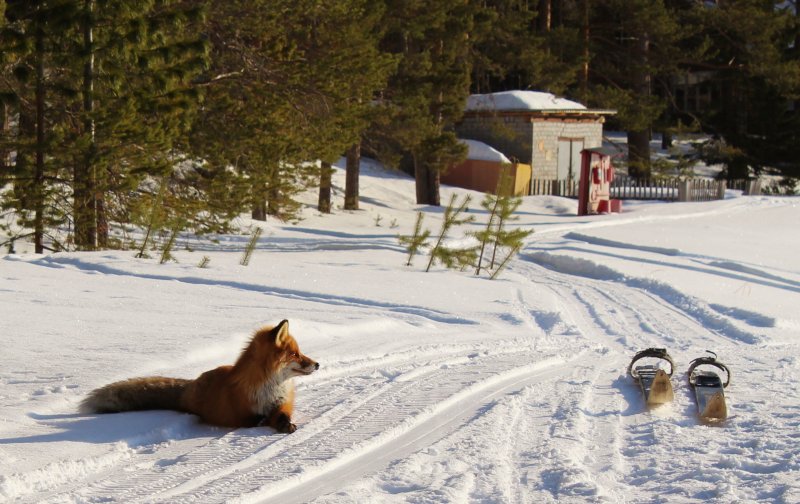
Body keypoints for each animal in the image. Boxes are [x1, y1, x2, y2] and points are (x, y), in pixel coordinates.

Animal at [80, 320, 318, 433]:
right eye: (295, 354)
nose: (317, 364)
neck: (270, 388)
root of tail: (192, 384)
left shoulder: (283, 403)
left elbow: (282, 415)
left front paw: (285, 425)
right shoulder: (239, 415)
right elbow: (254, 420)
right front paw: (267, 422)